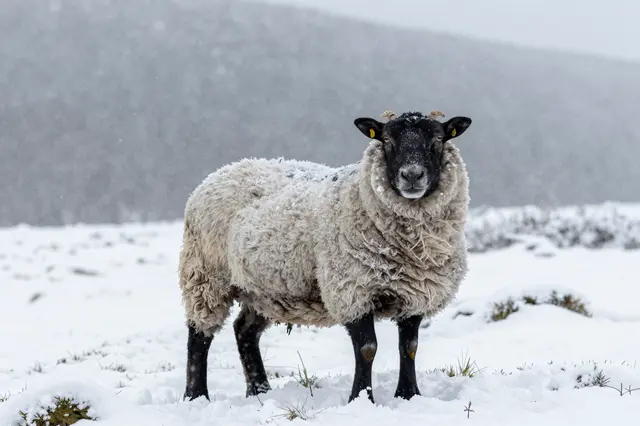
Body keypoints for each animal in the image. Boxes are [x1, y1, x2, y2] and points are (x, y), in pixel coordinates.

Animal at [180, 109, 473, 404]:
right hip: (205, 274)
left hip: (264, 290)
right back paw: (196, 396)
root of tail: (225, 170)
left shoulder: (417, 294)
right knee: (200, 335)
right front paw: (361, 399)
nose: (412, 175)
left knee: (244, 331)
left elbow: (409, 346)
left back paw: (259, 391)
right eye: (387, 140)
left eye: (438, 139)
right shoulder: (352, 291)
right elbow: (367, 348)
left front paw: (408, 395)